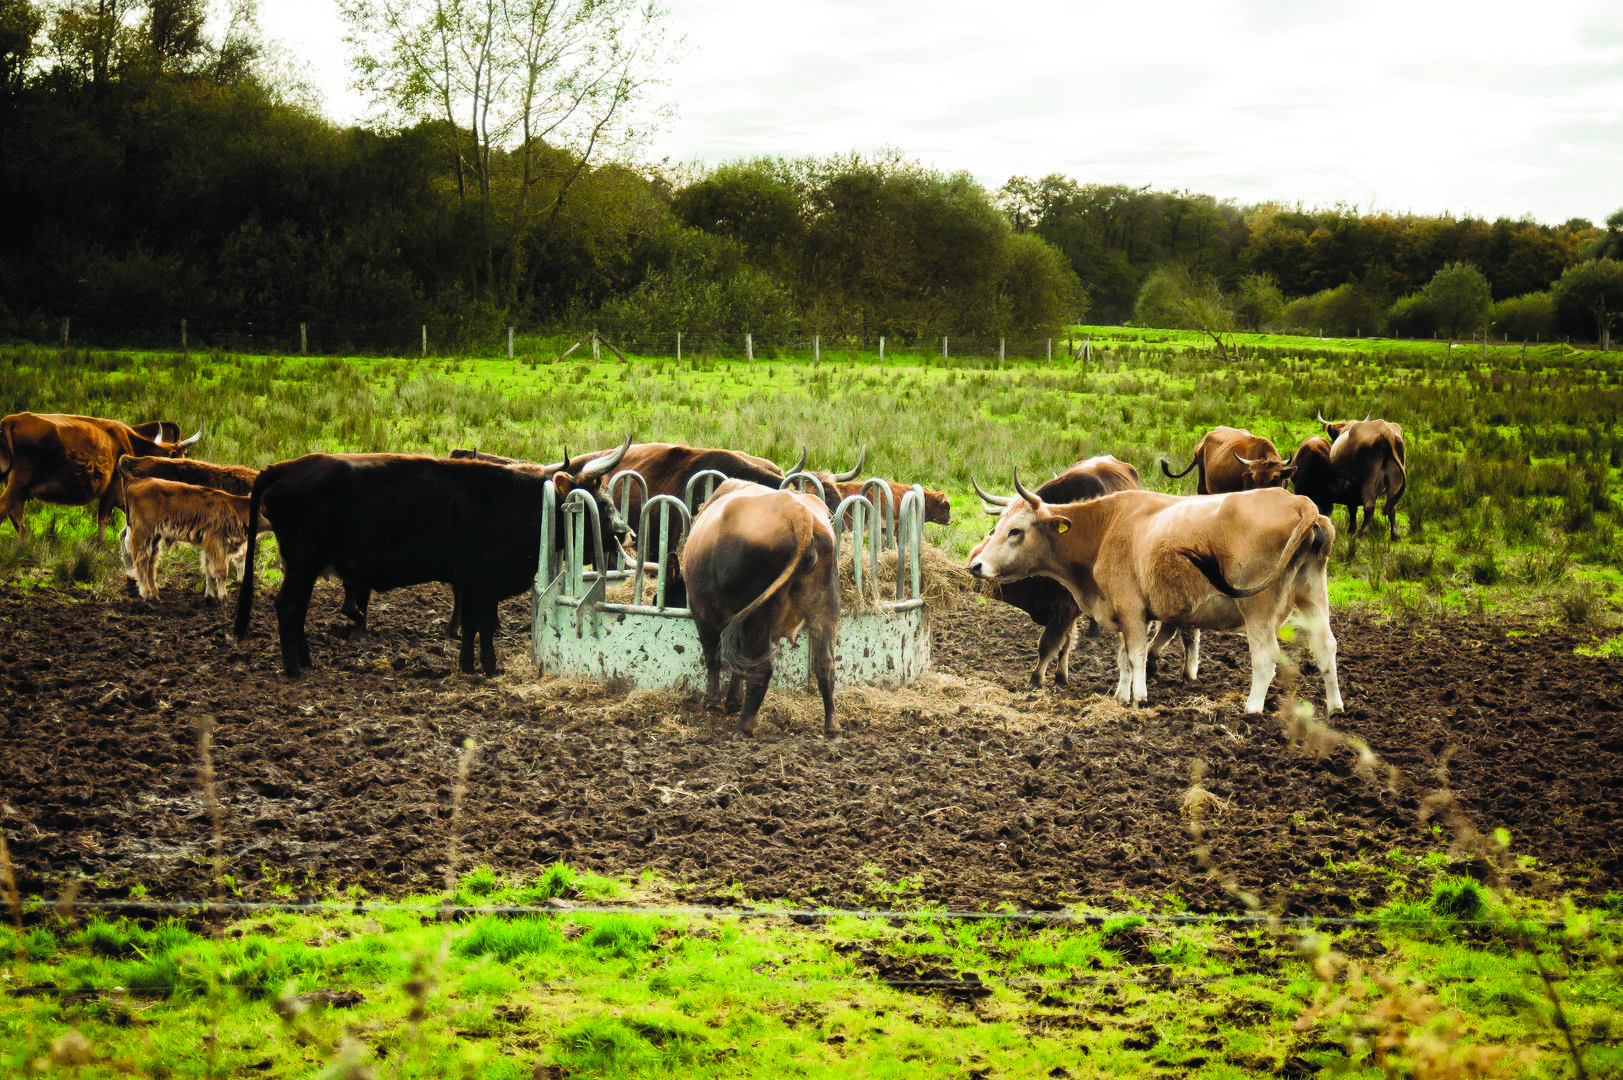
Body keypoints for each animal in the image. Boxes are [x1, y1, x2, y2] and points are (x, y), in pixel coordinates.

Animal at [678, 477, 843, 737]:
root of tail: (799, 514)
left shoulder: (703, 614)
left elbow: (715, 658)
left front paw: (712, 703)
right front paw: (731, 701)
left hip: (754, 619)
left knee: (761, 670)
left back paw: (742, 727)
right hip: (824, 612)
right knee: (825, 666)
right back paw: (832, 726)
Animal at [967, 474, 1337, 714]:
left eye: (1016, 531)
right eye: (997, 527)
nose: (977, 565)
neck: (1106, 527)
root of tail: (1300, 503)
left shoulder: (1132, 610)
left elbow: (1136, 655)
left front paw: (1139, 698)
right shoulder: (1124, 611)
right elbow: (1123, 657)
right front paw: (1121, 696)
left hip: (1258, 608)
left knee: (1265, 656)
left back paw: (1253, 708)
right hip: (1312, 593)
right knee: (1326, 646)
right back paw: (1336, 707)